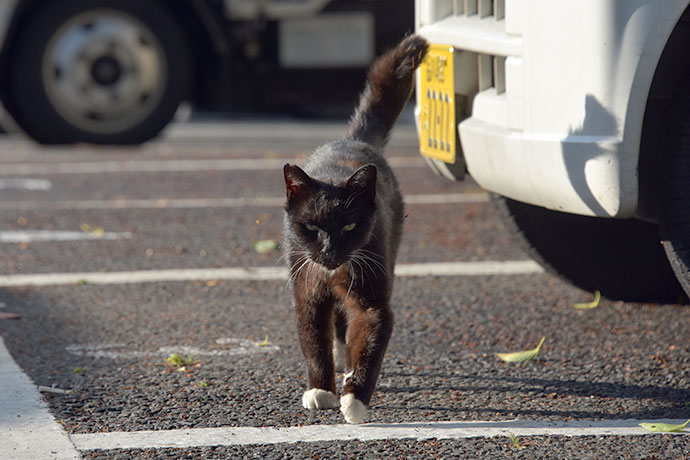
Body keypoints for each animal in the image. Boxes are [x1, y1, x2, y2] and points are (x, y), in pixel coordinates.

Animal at [282, 36, 428, 424]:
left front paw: (355, 399)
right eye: (311, 226)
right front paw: (320, 390)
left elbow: (370, 338)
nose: (330, 251)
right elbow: (313, 340)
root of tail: (354, 139)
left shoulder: (372, 295)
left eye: (349, 225)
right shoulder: (306, 289)